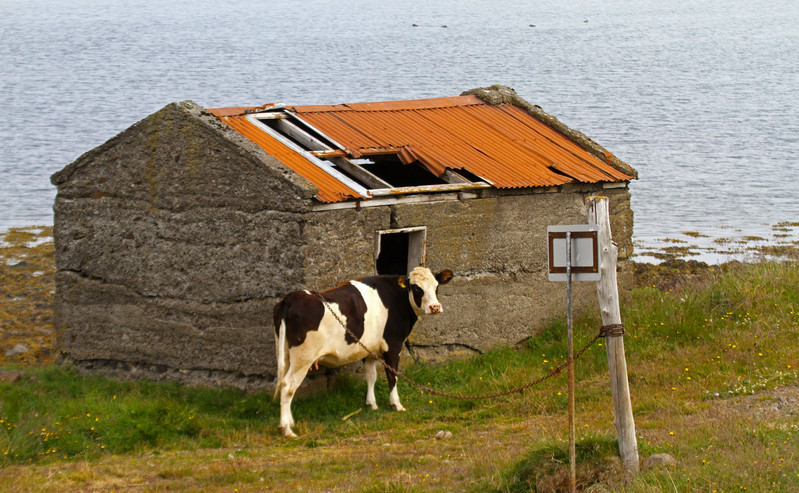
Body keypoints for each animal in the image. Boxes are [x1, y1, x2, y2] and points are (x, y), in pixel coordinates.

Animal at [274, 268, 450, 436]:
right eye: (416, 288)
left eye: (437, 286)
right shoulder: (393, 345)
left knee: (284, 383)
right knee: (288, 385)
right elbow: (392, 376)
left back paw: (290, 422)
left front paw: (372, 404)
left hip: (286, 354)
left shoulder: (370, 350)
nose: (435, 307)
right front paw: (396, 404)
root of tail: (292, 297)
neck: (396, 299)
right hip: (303, 358)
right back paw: (286, 429)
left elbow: (371, 376)